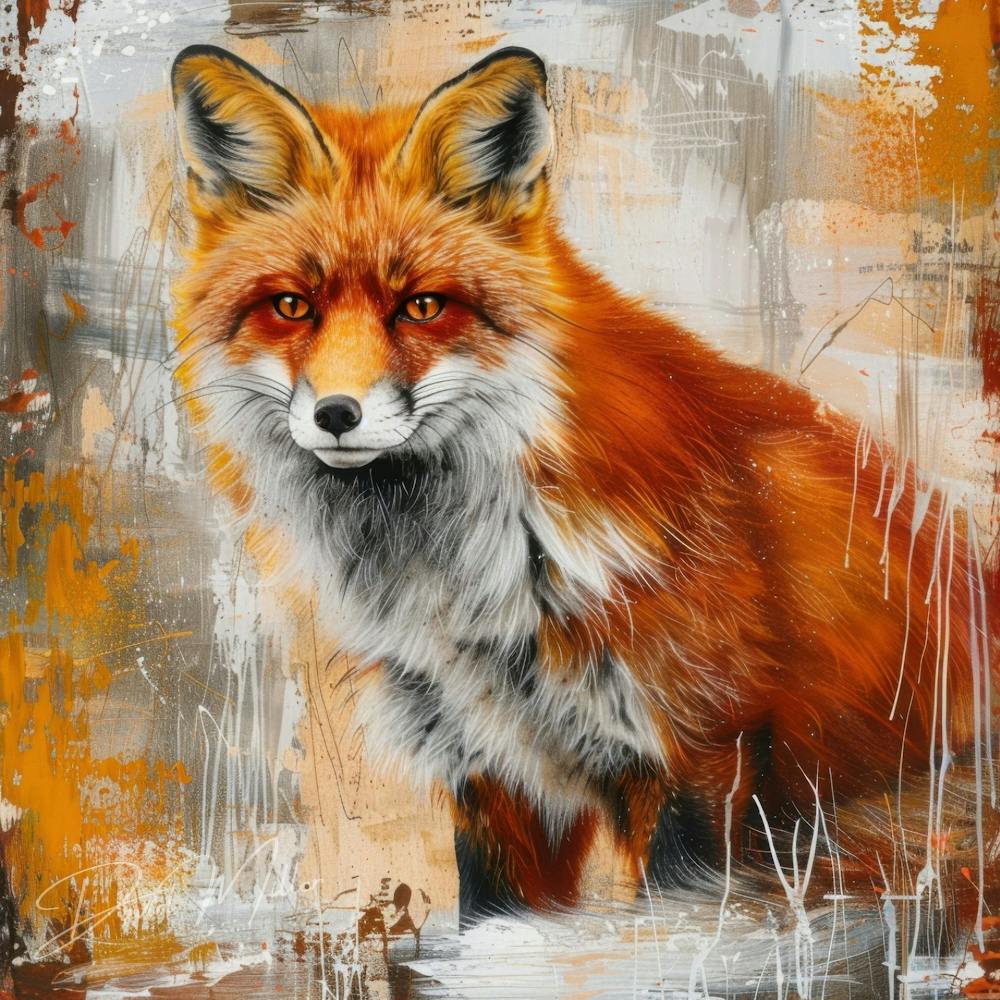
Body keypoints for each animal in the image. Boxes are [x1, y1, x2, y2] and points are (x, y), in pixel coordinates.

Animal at [170, 44, 996, 925]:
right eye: (292, 306)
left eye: (423, 306)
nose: (336, 414)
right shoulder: (491, 764)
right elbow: (495, 915)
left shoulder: (699, 748)